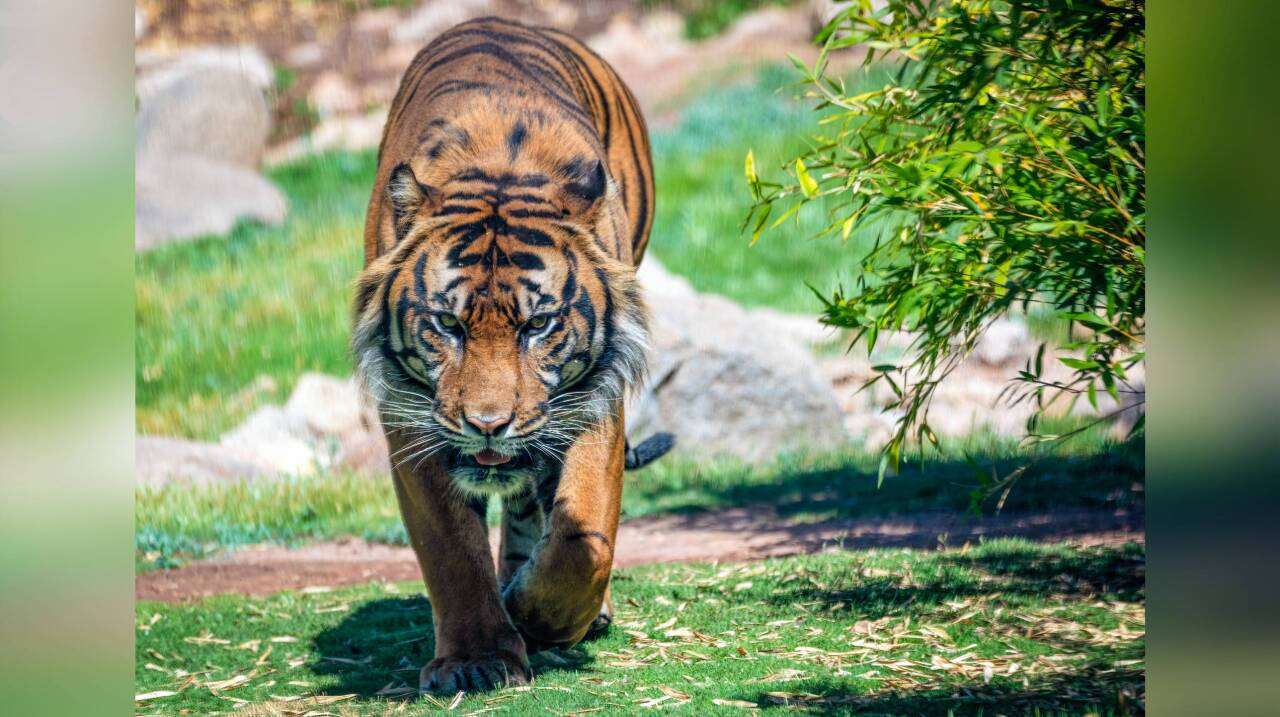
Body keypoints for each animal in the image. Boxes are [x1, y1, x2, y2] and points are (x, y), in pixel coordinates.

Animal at [345, 16, 675, 696]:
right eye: (447, 324)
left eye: (538, 325)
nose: (488, 425)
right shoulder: (410, 419)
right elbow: (450, 547)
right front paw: (477, 657)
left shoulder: (593, 402)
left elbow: (584, 537)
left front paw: (537, 615)